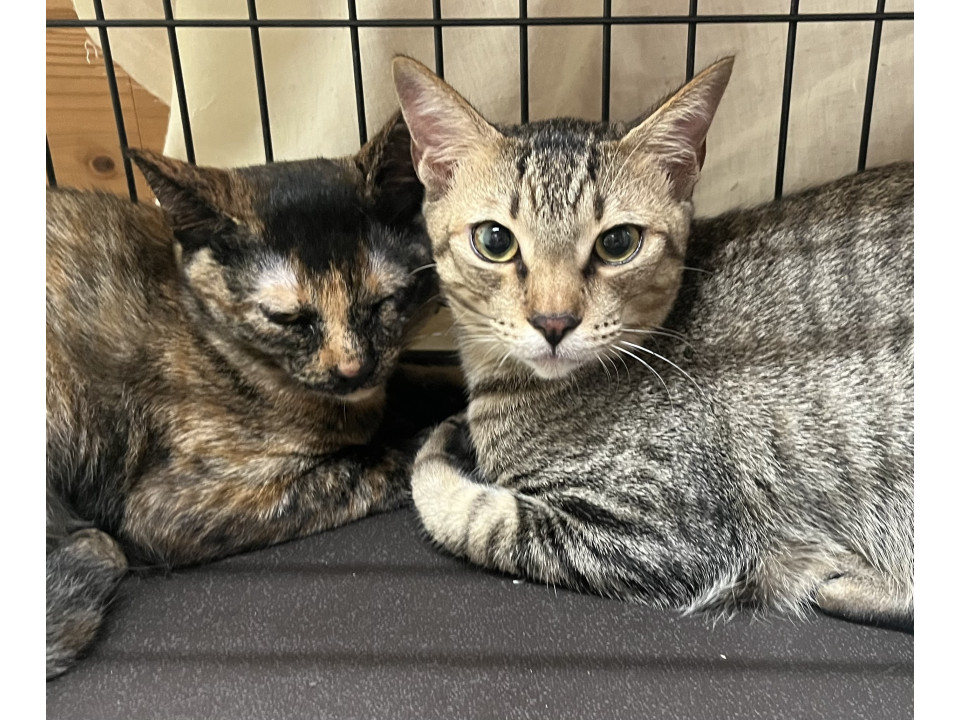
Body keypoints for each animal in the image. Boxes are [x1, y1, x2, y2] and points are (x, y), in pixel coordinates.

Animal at [46, 112, 456, 679]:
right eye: (289, 319)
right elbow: (371, 464)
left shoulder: (387, 382)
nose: (352, 368)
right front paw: (446, 438)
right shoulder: (171, 509)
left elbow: (427, 381)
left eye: (383, 303)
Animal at [391, 56, 914, 631]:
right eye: (494, 240)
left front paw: (438, 447)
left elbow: (470, 515)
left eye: (618, 243)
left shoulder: (664, 534)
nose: (554, 321)